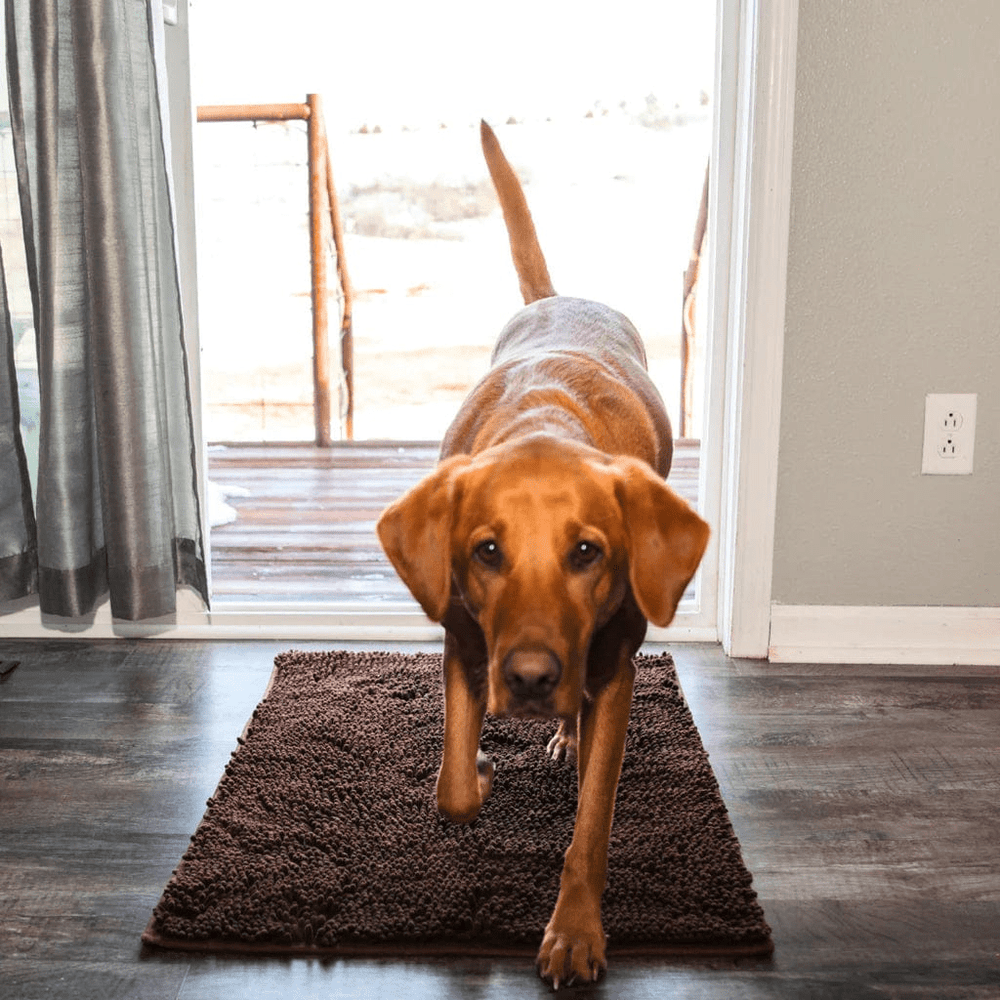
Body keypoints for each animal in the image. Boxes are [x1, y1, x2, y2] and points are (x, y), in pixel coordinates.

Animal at [376, 121, 712, 988]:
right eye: (486, 551)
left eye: (588, 552)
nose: (529, 680)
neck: (544, 424)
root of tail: (562, 298)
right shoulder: (463, 640)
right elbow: (454, 788)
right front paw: (478, 772)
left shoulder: (615, 668)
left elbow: (592, 822)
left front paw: (576, 931)